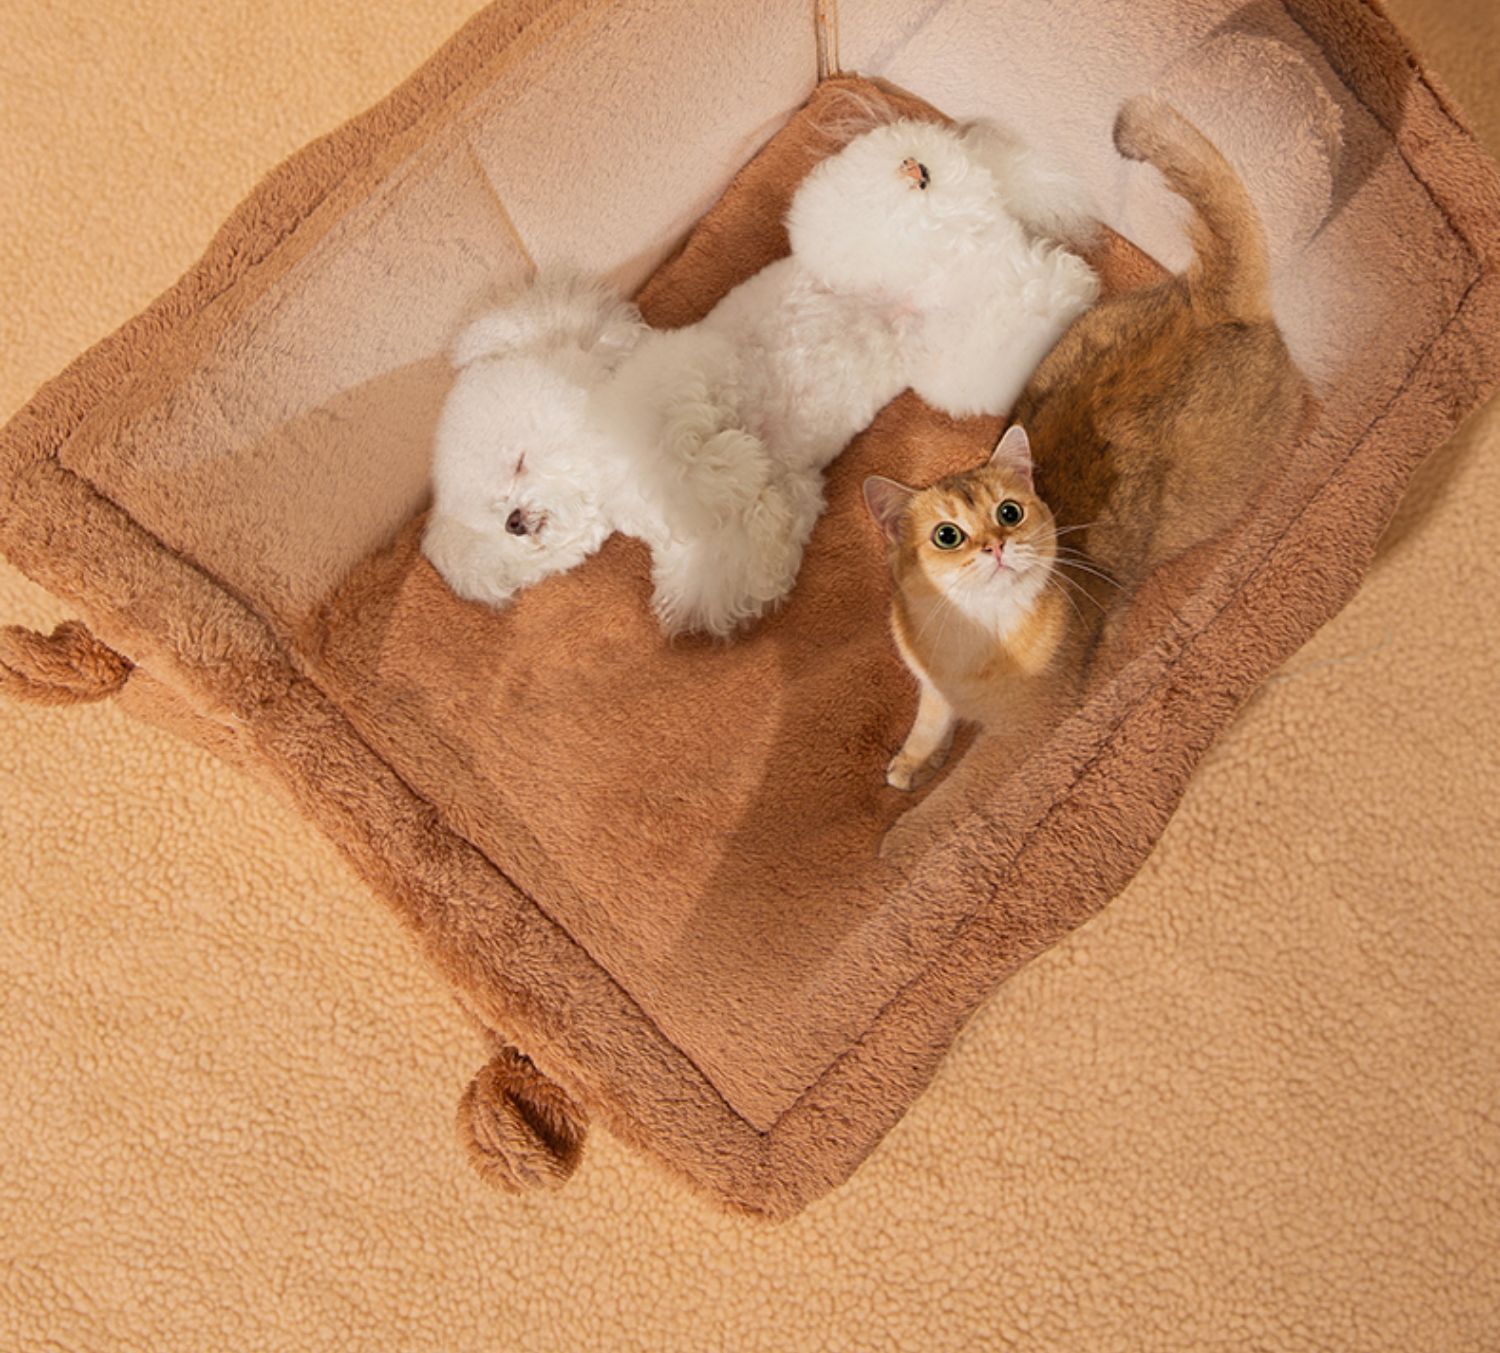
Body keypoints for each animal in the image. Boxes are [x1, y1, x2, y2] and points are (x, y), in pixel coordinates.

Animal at [865, 94, 1306, 791]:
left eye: (1010, 513)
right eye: (946, 535)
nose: (995, 547)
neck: (971, 646)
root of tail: (1209, 304)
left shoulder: (1021, 739)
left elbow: (959, 797)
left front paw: (919, 814)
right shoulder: (932, 690)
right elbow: (927, 726)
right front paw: (909, 764)